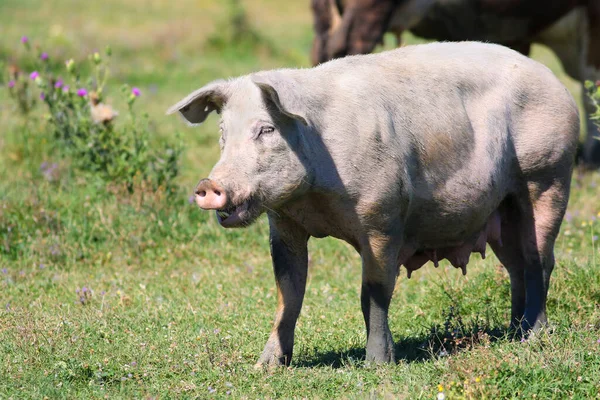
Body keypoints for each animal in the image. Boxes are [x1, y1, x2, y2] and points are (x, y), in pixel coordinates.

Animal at [166, 42, 580, 368]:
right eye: (223, 133)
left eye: (266, 130)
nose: (208, 185)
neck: (314, 199)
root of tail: (558, 84)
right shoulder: (284, 224)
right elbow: (289, 293)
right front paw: (266, 367)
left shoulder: (383, 216)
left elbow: (374, 293)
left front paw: (377, 363)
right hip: (502, 208)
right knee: (515, 265)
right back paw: (512, 331)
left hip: (548, 174)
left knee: (540, 259)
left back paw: (533, 336)